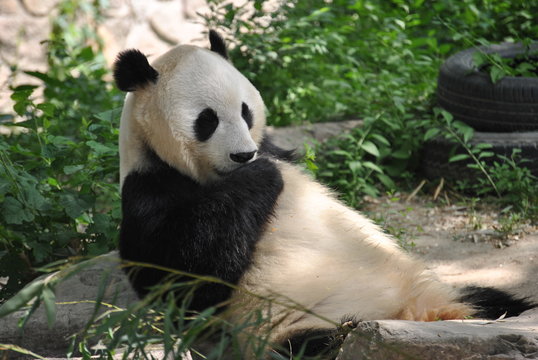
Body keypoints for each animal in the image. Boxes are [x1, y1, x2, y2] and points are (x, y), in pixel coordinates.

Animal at [113, 31, 532, 360]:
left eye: (246, 111)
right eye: (207, 120)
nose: (243, 155)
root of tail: (420, 315)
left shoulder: (273, 147)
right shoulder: (150, 188)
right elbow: (184, 277)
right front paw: (261, 176)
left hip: (444, 289)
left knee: (494, 301)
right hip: (303, 325)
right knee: (323, 345)